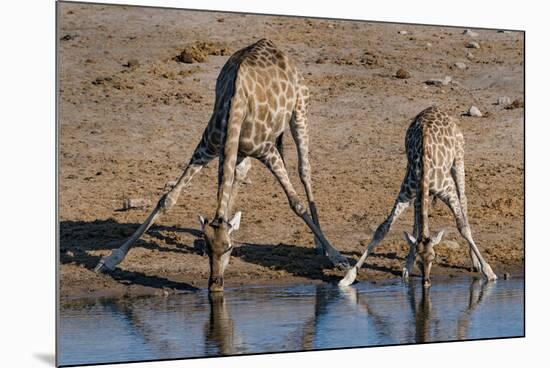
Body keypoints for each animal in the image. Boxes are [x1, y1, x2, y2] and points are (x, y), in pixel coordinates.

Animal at [94, 38, 350, 290]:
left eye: (229, 247)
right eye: (209, 248)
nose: (215, 284)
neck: (235, 107)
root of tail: (274, 46)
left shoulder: (267, 151)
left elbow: (296, 204)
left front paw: (339, 259)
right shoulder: (208, 149)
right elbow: (168, 199)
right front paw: (110, 260)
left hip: (300, 111)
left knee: (304, 170)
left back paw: (320, 245)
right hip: (240, 150)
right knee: (240, 174)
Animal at [340, 105, 500, 288]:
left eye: (434, 258)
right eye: (419, 260)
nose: (426, 282)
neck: (424, 171)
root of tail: (435, 107)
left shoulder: (449, 193)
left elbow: (463, 227)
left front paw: (489, 272)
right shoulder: (408, 194)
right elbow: (384, 229)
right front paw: (349, 276)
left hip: (458, 159)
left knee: (464, 199)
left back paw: (475, 261)